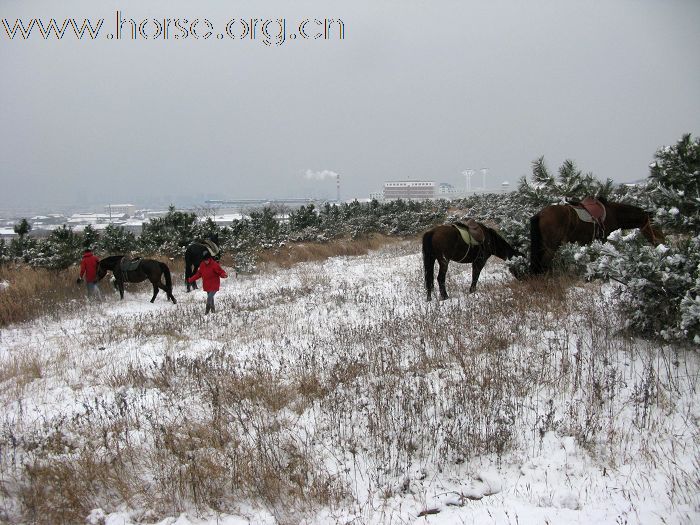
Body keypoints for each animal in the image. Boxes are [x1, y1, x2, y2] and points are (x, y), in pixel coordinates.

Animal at [528, 195, 664, 270]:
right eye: (654, 226)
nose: (661, 242)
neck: (614, 213)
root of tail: (540, 214)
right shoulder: (606, 240)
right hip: (551, 247)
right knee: (544, 265)